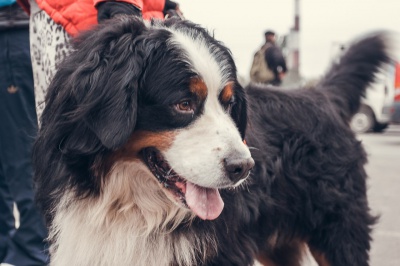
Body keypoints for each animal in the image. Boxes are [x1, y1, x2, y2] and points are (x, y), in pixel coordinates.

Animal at [32, 16, 392, 266]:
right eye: (183, 104)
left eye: (229, 103)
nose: (243, 167)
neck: (132, 207)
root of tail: (321, 94)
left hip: (338, 234)